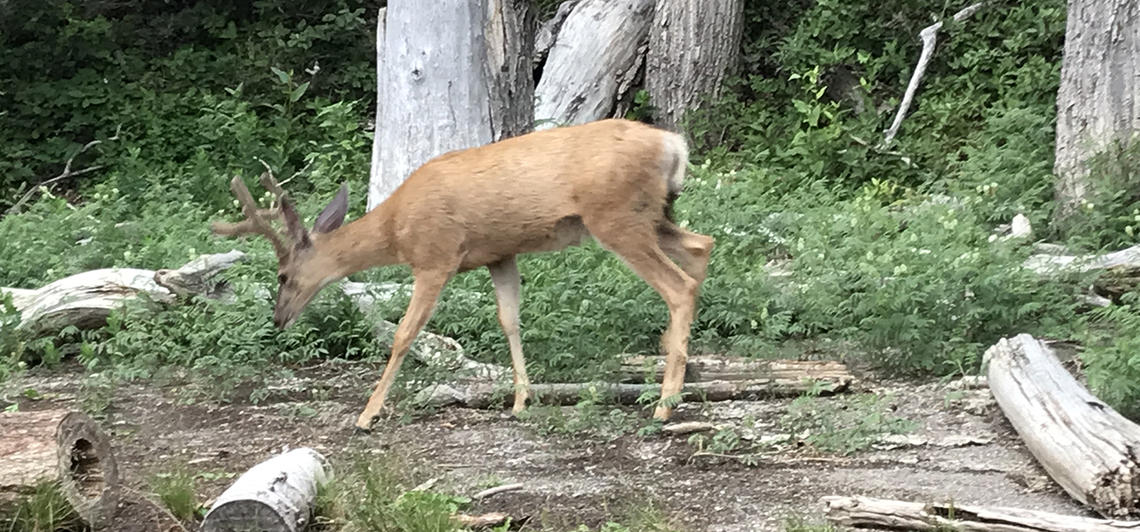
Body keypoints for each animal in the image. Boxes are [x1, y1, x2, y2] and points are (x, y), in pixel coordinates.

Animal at [209, 118, 711, 430]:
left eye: (282, 275)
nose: (278, 319)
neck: (395, 228)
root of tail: (674, 145)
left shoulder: (436, 257)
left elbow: (404, 334)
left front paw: (367, 415)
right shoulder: (499, 254)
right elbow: (510, 319)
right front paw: (520, 401)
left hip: (616, 217)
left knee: (678, 284)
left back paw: (665, 403)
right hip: (654, 216)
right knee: (701, 247)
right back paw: (678, 363)